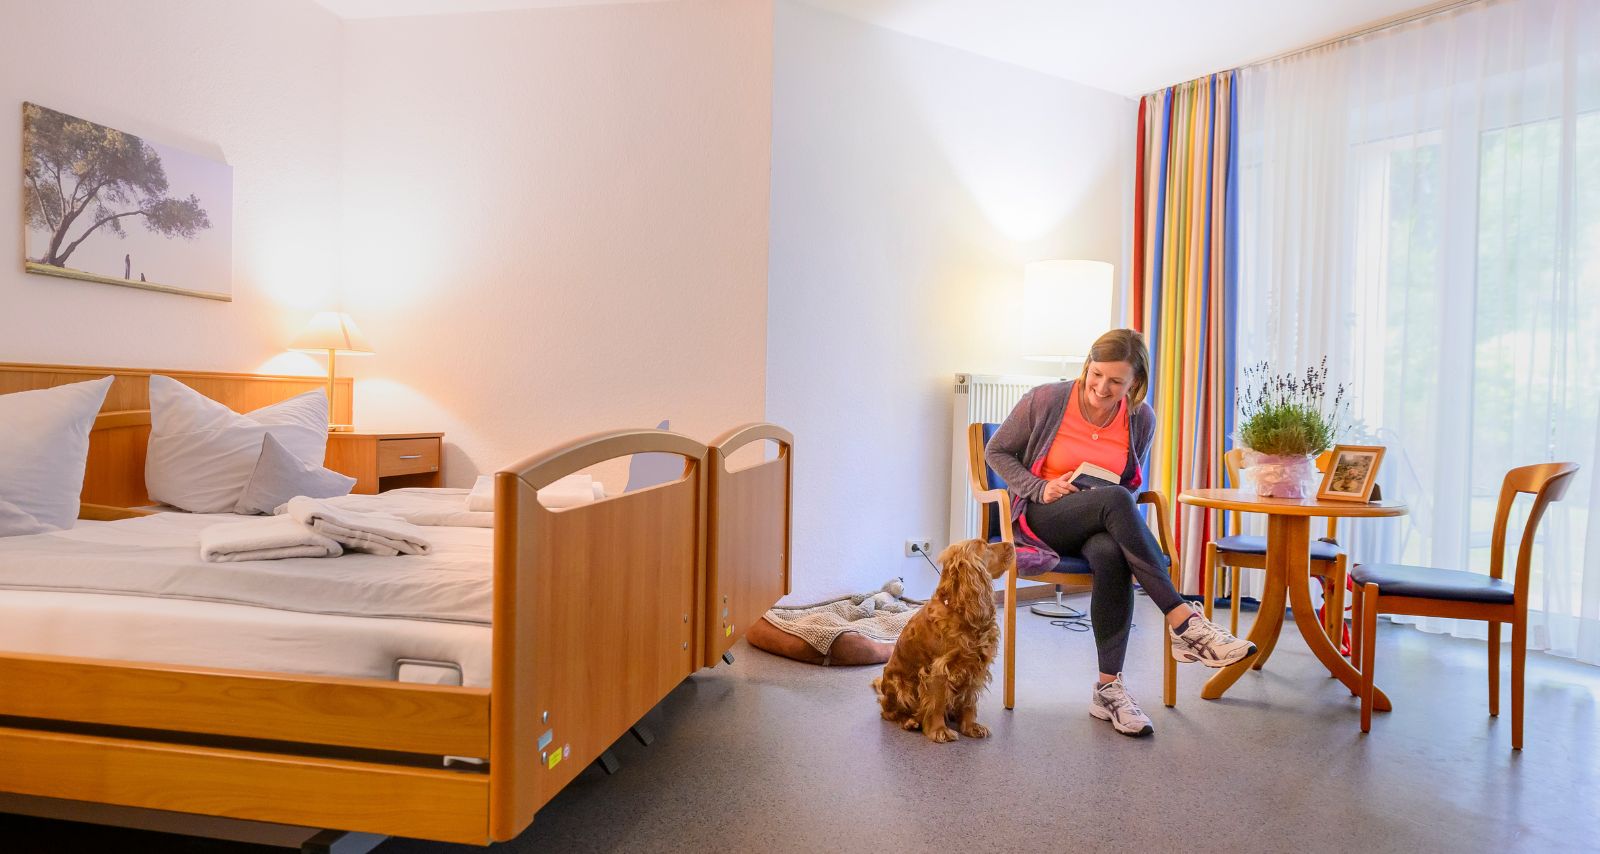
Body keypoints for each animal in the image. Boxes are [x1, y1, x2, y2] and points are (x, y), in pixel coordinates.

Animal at [872, 539, 1014, 743]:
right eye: (985, 546)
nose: (1012, 544)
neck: (959, 609)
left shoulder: (975, 667)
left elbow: (969, 701)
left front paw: (971, 726)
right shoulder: (938, 669)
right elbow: (937, 702)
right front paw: (939, 730)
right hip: (899, 685)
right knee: (888, 712)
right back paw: (909, 721)